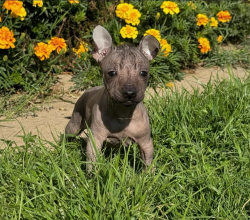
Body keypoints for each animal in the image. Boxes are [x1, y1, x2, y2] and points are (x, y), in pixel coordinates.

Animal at [66, 24, 160, 171]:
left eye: (143, 73)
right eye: (111, 73)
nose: (129, 92)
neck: (123, 112)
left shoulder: (146, 143)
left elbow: (148, 163)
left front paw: (148, 175)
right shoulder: (95, 141)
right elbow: (93, 162)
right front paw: (93, 175)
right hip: (75, 122)